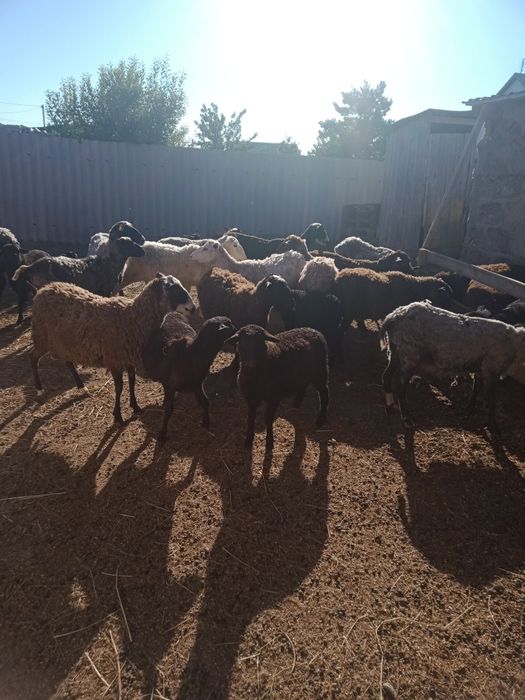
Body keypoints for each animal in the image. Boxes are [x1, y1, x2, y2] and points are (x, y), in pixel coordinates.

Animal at [30, 273, 196, 424]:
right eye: (172, 290)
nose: (193, 308)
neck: (133, 317)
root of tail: (44, 288)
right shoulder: (115, 360)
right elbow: (119, 388)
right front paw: (118, 415)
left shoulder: (128, 359)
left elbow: (132, 382)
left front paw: (135, 406)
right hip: (42, 336)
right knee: (33, 358)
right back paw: (39, 388)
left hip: (62, 342)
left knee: (67, 362)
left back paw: (80, 385)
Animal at [381, 300, 525, 433]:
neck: (516, 344)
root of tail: (392, 316)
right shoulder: (491, 368)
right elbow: (491, 399)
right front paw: (492, 426)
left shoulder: (480, 368)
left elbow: (476, 388)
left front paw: (470, 409)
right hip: (409, 354)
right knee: (400, 387)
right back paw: (406, 419)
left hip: (396, 350)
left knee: (386, 376)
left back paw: (390, 408)